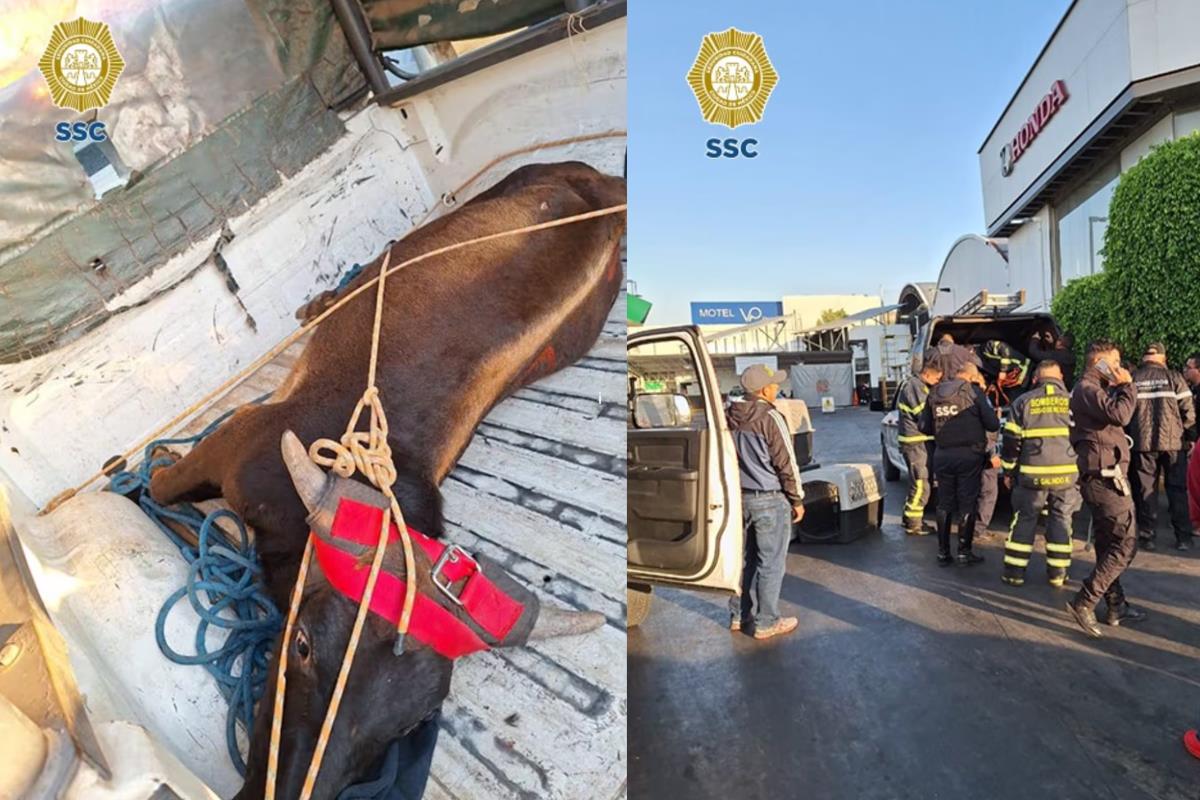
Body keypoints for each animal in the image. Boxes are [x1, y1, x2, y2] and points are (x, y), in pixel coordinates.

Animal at [150, 163, 628, 800]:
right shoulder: (235, 440)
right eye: (303, 645)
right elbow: (162, 486)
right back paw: (325, 300)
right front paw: (143, 474)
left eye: (413, 721)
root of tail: (603, 184)